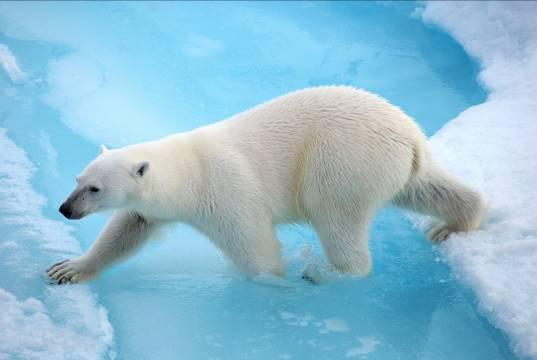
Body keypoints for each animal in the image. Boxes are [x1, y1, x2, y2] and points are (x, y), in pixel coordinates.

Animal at [48, 86, 486, 284]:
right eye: (78, 179)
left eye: (95, 189)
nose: (65, 209)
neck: (189, 173)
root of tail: (411, 136)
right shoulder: (150, 209)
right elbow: (126, 231)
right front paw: (68, 268)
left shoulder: (225, 192)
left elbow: (255, 248)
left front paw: (275, 282)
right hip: (398, 166)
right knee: (426, 189)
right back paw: (454, 222)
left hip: (342, 164)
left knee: (338, 224)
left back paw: (325, 274)